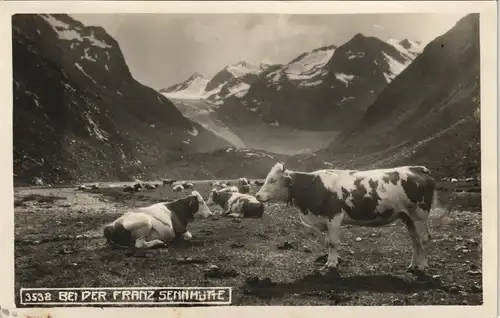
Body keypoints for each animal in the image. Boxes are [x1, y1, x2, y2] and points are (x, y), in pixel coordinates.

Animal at [256, 163, 444, 274]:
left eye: (273, 180)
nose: (257, 195)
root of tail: (418, 168)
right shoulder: (325, 220)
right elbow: (328, 242)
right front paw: (330, 261)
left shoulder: (333, 217)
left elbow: (333, 243)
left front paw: (332, 264)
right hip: (408, 217)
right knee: (415, 240)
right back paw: (412, 265)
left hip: (419, 215)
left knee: (423, 238)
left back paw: (422, 266)